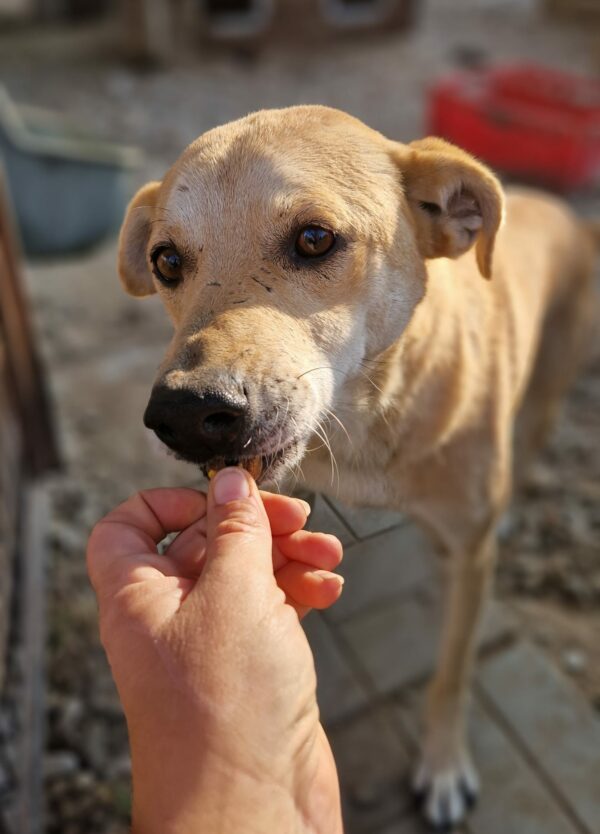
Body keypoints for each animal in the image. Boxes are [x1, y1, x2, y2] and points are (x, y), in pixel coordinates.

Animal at [117, 107, 596, 828]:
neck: (369, 423)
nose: (185, 413)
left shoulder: (469, 556)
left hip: (546, 390)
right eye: (166, 260)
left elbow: (452, 671)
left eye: (314, 239)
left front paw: (443, 765)